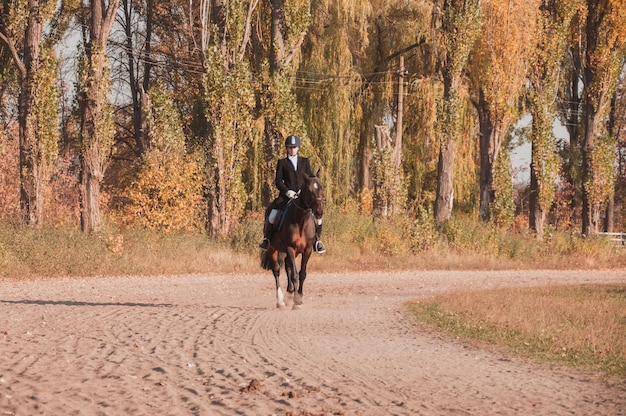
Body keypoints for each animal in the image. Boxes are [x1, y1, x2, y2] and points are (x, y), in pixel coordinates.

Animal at [260, 172, 324, 308]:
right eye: (309, 190)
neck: (301, 221)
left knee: (287, 266)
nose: (319, 212)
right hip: (273, 249)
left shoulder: (307, 250)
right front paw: (296, 301)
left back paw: (289, 293)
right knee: (276, 270)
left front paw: (298, 297)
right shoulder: (290, 248)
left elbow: (302, 273)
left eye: (321, 188)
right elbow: (294, 274)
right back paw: (280, 300)